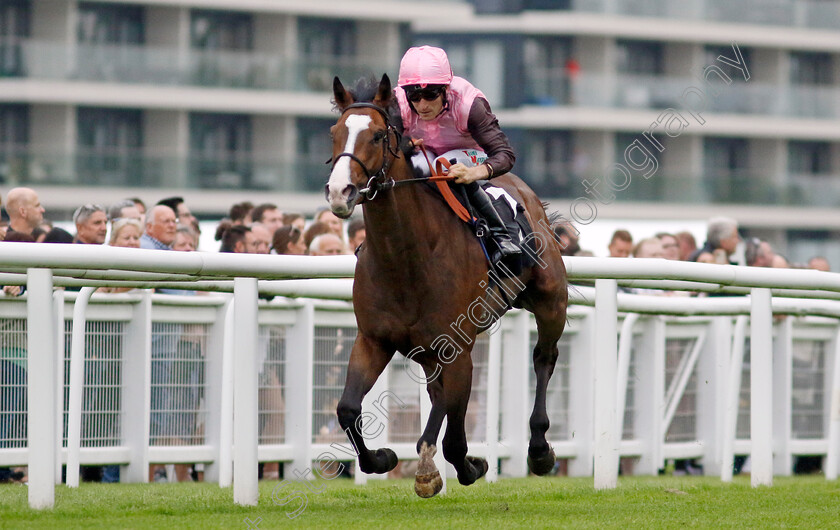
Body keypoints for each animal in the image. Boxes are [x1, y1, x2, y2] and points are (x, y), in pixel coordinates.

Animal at [324, 73, 568, 496]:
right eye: (335, 133)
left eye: (377, 136)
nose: (341, 192)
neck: (406, 259)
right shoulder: (373, 340)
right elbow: (348, 409)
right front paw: (384, 458)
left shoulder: (457, 347)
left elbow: (449, 431)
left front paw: (451, 468)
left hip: (551, 302)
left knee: (544, 358)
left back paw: (539, 449)